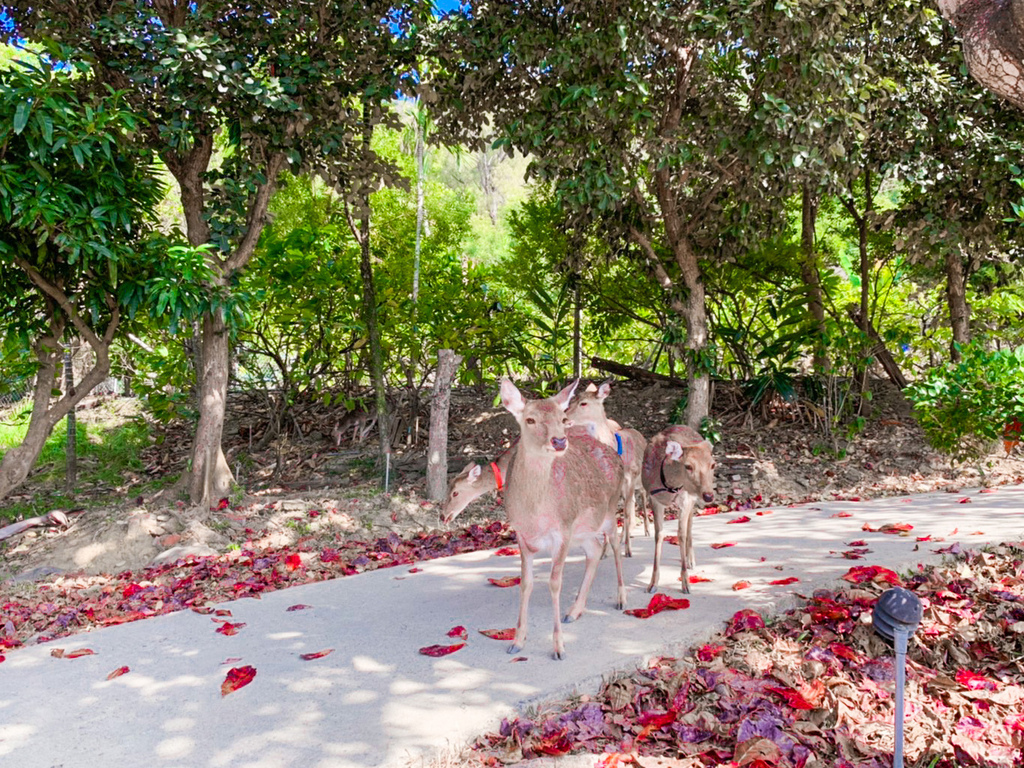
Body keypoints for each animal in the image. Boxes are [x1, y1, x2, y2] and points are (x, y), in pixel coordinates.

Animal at [499, 378, 626, 663]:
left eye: (562, 418)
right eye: (530, 419)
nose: (559, 441)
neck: (535, 513)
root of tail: (613, 453)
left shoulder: (563, 530)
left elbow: (555, 583)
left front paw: (559, 647)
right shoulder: (521, 534)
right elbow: (525, 584)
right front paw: (517, 641)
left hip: (609, 511)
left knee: (614, 544)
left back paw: (622, 598)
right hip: (584, 529)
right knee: (595, 549)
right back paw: (575, 610)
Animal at [565, 382, 651, 561]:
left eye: (584, 403)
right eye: (572, 399)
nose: (565, 416)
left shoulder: (630, 478)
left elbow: (626, 513)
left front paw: (629, 551)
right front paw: (605, 552)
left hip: (641, 479)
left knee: (642, 498)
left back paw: (645, 531)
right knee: (630, 504)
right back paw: (624, 538)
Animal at [643, 428, 716, 593]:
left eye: (713, 465)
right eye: (688, 466)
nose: (708, 495)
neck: (669, 485)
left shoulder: (686, 499)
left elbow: (681, 534)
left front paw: (686, 584)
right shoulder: (654, 499)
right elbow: (659, 535)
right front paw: (652, 584)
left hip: (692, 499)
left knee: (689, 525)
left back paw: (691, 560)